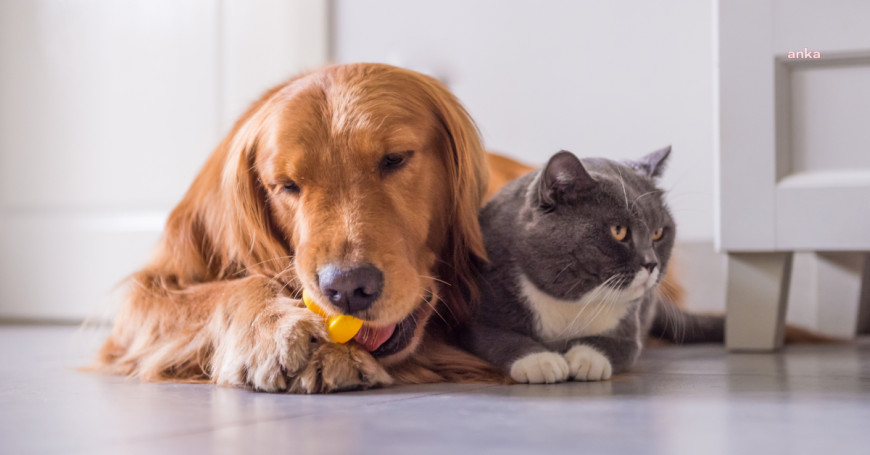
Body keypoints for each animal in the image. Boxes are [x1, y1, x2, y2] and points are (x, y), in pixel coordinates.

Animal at [460, 148, 724, 382]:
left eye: (658, 233)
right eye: (619, 231)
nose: (651, 263)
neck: (572, 303)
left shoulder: (630, 327)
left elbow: (618, 346)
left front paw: (586, 359)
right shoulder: (478, 316)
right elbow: (500, 338)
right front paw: (541, 361)